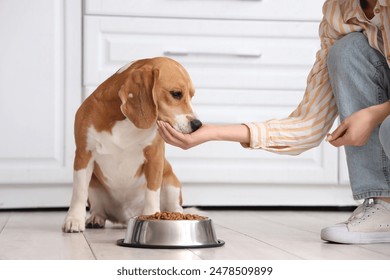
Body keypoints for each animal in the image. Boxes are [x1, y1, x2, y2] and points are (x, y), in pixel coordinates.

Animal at [61, 56, 201, 232]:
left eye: (192, 96)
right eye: (176, 94)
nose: (198, 124)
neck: (126, 122)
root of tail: (126, 217)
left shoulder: (155, 158)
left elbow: (152, 192)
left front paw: (151, 215)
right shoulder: (83, 154)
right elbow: (79, 192)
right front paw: (74, 219)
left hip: (171, 183)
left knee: (176, 207)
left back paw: (178, 216)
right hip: (94, 184)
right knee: (98, 208)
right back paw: (95, 218)